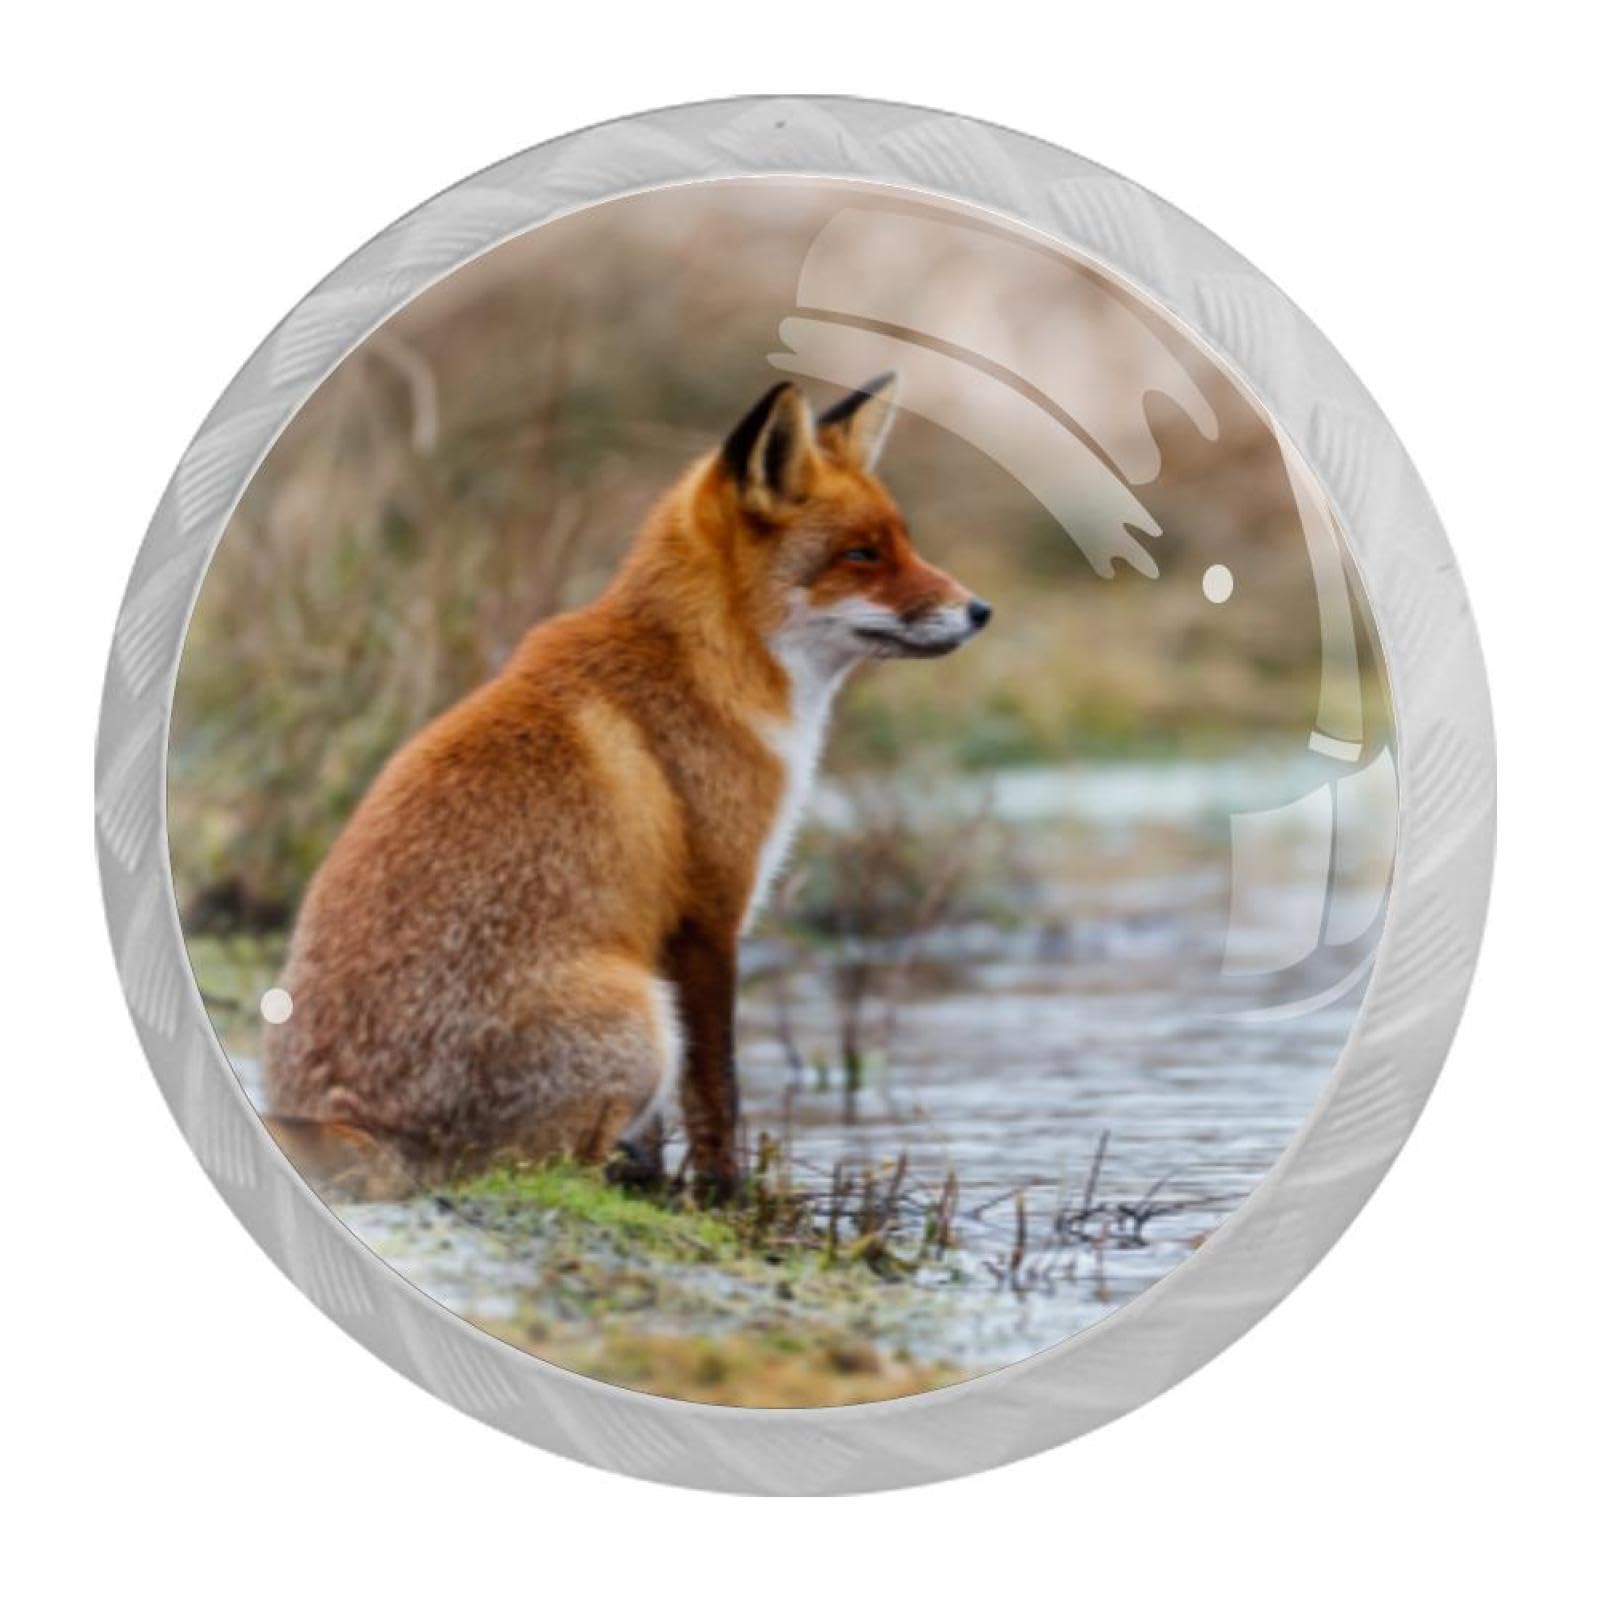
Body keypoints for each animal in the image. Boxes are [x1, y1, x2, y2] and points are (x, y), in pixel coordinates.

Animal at [263, 374, 990, 1199]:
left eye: (903, 542)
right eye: (861, 554)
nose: (979, 610)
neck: (706, 666)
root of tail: (349, 1123)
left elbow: (678, 1114)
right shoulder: (707, 915)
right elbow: (718, 1088)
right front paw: (725, 1194)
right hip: (641, 1014)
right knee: (550, 1167)